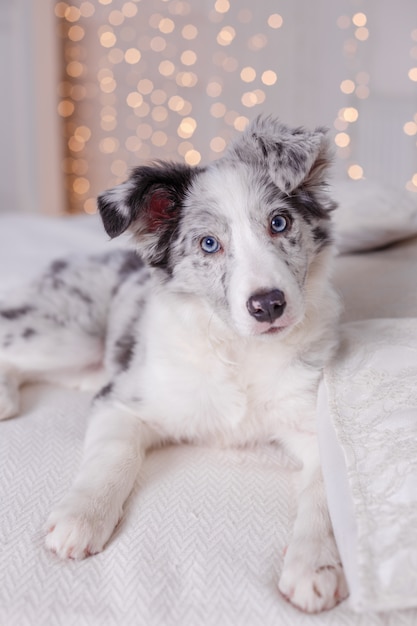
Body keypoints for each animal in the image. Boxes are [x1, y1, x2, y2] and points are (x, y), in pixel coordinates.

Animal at [0, 116, 348, 608]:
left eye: (279, 223)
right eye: (209, 244)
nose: (268, 305)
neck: (238, 350)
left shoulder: (311, 425)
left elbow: (324, 497)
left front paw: (313, 565)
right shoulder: (121, 401)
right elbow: (113, 457)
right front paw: (80, 518)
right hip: (68, 336)